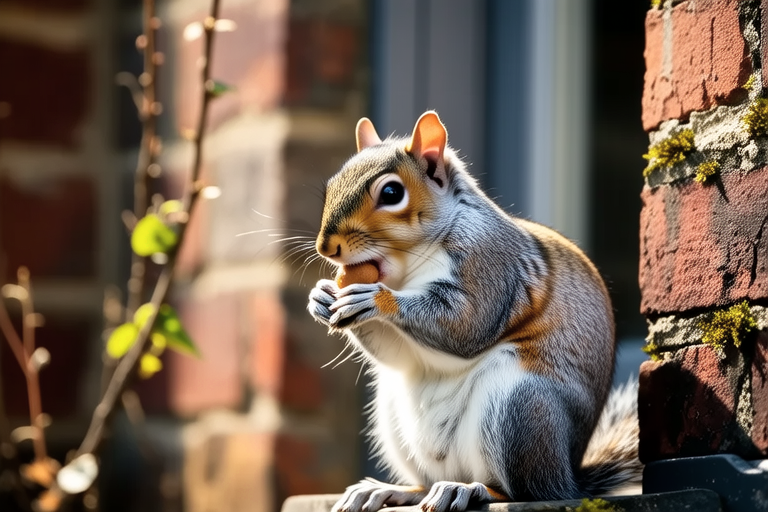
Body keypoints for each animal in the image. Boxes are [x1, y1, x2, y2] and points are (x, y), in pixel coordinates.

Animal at [307, 111, 642, 512]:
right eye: (330, 186)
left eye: (391, 193)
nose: (326, 247)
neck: (408, 266)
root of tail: (569, 477)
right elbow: (395, 353)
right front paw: (321, 296)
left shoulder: (490, 264)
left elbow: (465, 325)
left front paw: (374, 300)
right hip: (396, 419)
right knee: (426, 482)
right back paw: (391, 490)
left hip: (520, 408)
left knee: (523, 490)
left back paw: (470, 490)